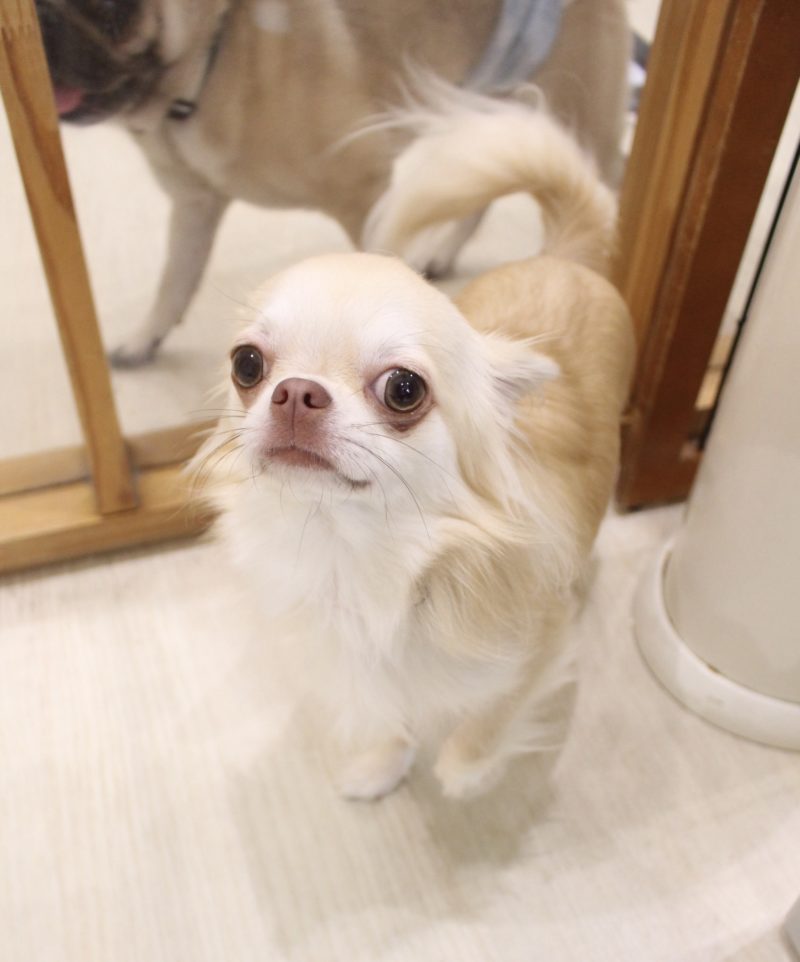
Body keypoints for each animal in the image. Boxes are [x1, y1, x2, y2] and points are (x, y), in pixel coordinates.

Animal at [36, 0, 631, 366]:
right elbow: (174, 281)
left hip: (576, 120)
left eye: (111, 7)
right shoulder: (194, 205)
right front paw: (144, 338)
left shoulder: (364, 194)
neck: (217, 54)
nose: (40, 19)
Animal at [193, 91, 635, 801]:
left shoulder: (542, 644)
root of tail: (562, 255)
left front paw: (467, 773)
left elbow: (491, 715)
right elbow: (385, 715)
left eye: (403, 389)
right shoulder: (357, 667)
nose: (295, 392)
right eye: (247, 364)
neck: (355, 552)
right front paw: (381, 766)